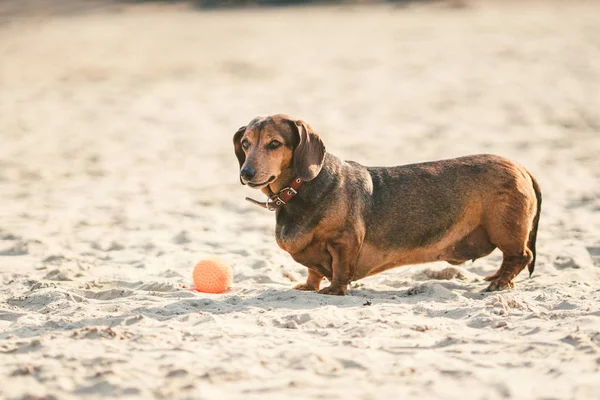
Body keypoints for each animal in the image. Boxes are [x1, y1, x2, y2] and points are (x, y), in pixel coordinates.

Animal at [232, 114, 540, 296]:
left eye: (274, 144)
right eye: (245, 143)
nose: (245, 174)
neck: (300, 188)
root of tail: (522, 168)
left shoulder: (344, 242)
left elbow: (340, 269)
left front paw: (334, 290)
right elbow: (313, 271)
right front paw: (308, 286)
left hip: (505, 229)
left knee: (521, 256)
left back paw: (501, 282)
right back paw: (496, 277)